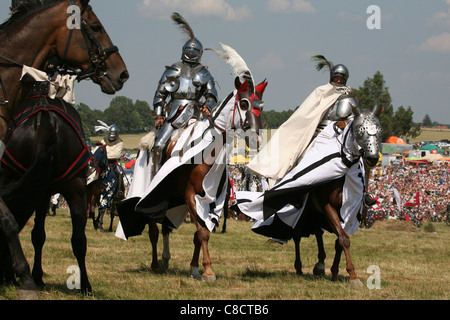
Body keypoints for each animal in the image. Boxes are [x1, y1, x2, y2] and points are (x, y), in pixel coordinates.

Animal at [292, 104, 384, 286]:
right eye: (359, 131)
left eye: (379, 131)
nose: (372, 158)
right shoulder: (328, 207)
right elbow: (343, 239)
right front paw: (353, 276)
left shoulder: (349, 212)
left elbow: (339, 241)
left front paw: (335, 271)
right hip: (307, 211)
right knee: (298, 235)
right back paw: (299, 268)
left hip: (316, 213)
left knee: (318, 233)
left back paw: (320, 264)